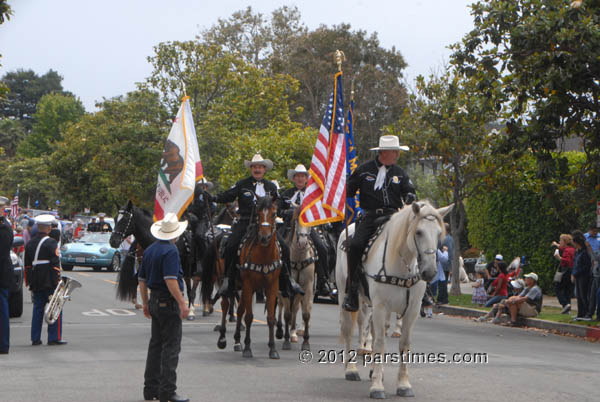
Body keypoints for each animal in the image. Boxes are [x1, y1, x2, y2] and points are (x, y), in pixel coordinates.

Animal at [276, 207, 314, 352]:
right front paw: (286, 340)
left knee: (295, 308)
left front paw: (306, 343)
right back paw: (280, 331)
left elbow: (305, 313)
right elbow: (286, 313)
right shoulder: (286, 288)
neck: (298, 257)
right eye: (297, 220)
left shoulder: (307, 287)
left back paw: (292, 333)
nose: (302, 242)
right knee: (281, 306)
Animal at [338, 203, 450, 398]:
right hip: (347, 297)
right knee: (348, 330)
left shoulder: (412, 310)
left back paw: (374, 371)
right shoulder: (381, 307)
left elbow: (404, 344)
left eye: (438, 233)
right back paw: (351, 369)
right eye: (419, 232)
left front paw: (403, 385)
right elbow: (380, 343)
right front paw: (376, 387)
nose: (429, 272)